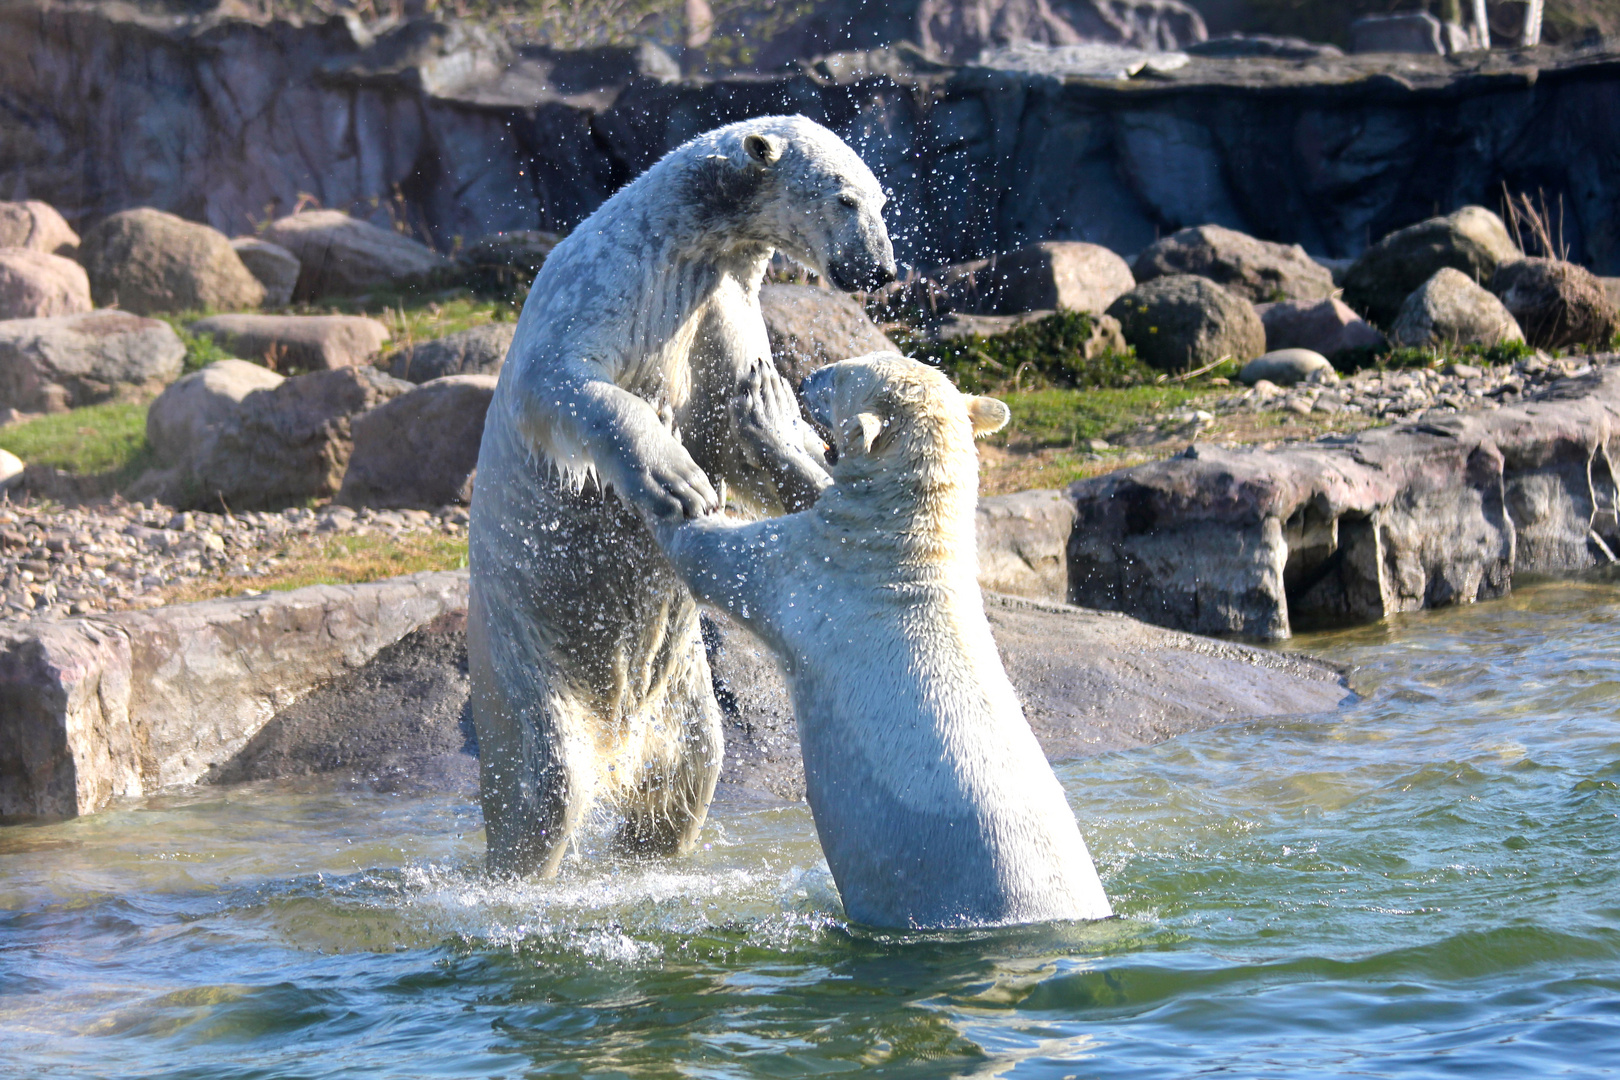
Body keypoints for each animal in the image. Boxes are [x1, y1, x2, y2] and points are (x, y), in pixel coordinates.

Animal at [469, 116, 900, 880]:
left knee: (687, 770)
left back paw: (650, 852)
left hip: (679, 694)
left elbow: (738, 422)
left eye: (880, 200)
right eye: (845, 199)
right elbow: (563, 379)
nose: (881, 269)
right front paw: (674, 477)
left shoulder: (720, 309)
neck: (684, 239)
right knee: (542, 780)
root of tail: (615, 738)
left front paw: (793, 444)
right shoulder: (607, 284)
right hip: (522, 655)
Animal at [651, 354, 1108, 932]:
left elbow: (718, 556)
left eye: (844, 374)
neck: (907, 551)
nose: (806, 378)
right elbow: (819, 489)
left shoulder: (819, 579)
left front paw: (700, 445)